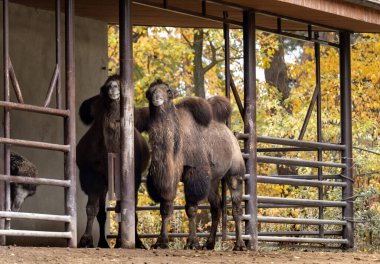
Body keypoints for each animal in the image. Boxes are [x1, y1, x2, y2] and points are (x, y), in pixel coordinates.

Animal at [76, 75, 149, 249]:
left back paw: (133, 241)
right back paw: (103, 242)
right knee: (103, 213)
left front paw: (123, 241)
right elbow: (92, 208)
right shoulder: (92, 175)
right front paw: (85, 240)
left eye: (121, 85)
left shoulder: (130, 178)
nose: (113, 87)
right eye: (105, 87)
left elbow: (123, 207)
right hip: (105, 182)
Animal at [144, 79, 245, 251]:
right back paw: (209, 243)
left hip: (234, 172)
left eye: (168, 91)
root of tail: (232, 135)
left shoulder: (194, 173)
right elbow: (165, 207)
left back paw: (240, 245)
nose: (157, 98)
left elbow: (191, 209)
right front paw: (161, 242)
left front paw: (192, 242)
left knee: (236, 207)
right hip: (213, 180)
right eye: (149, 92)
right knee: (216, 207)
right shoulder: (169, 177)